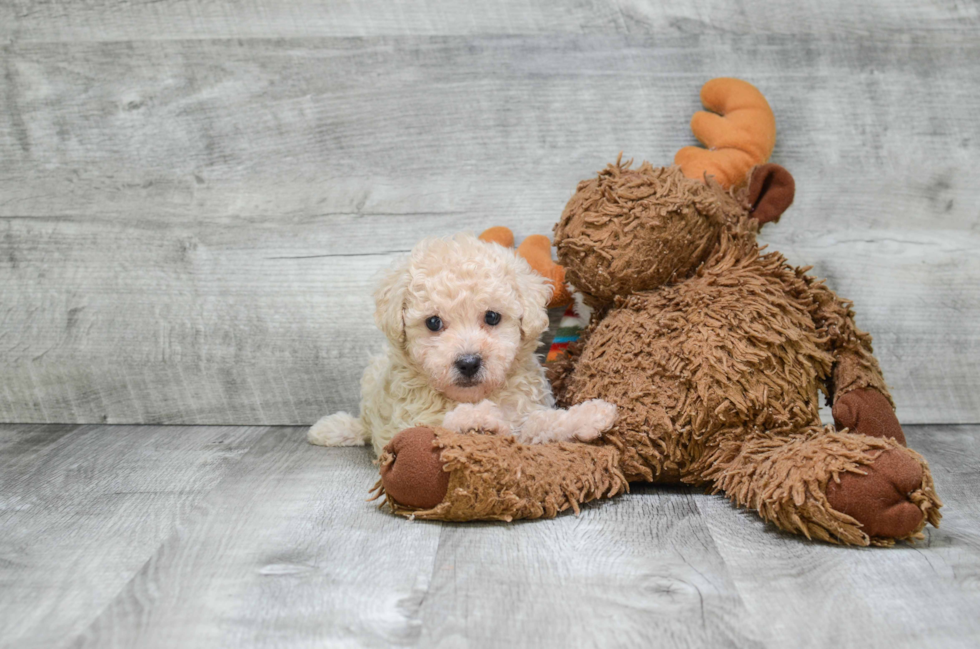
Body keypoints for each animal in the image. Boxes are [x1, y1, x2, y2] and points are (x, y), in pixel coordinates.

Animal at [308, 233, 612, 456]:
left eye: (492, 317)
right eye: (433, 323)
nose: (468, 363)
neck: (473, 396)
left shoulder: (524, 414)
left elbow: (542, 422)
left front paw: (589, 415)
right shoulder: (406, 421)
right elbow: (439, 424)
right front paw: (479, 419)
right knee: (365, 426)